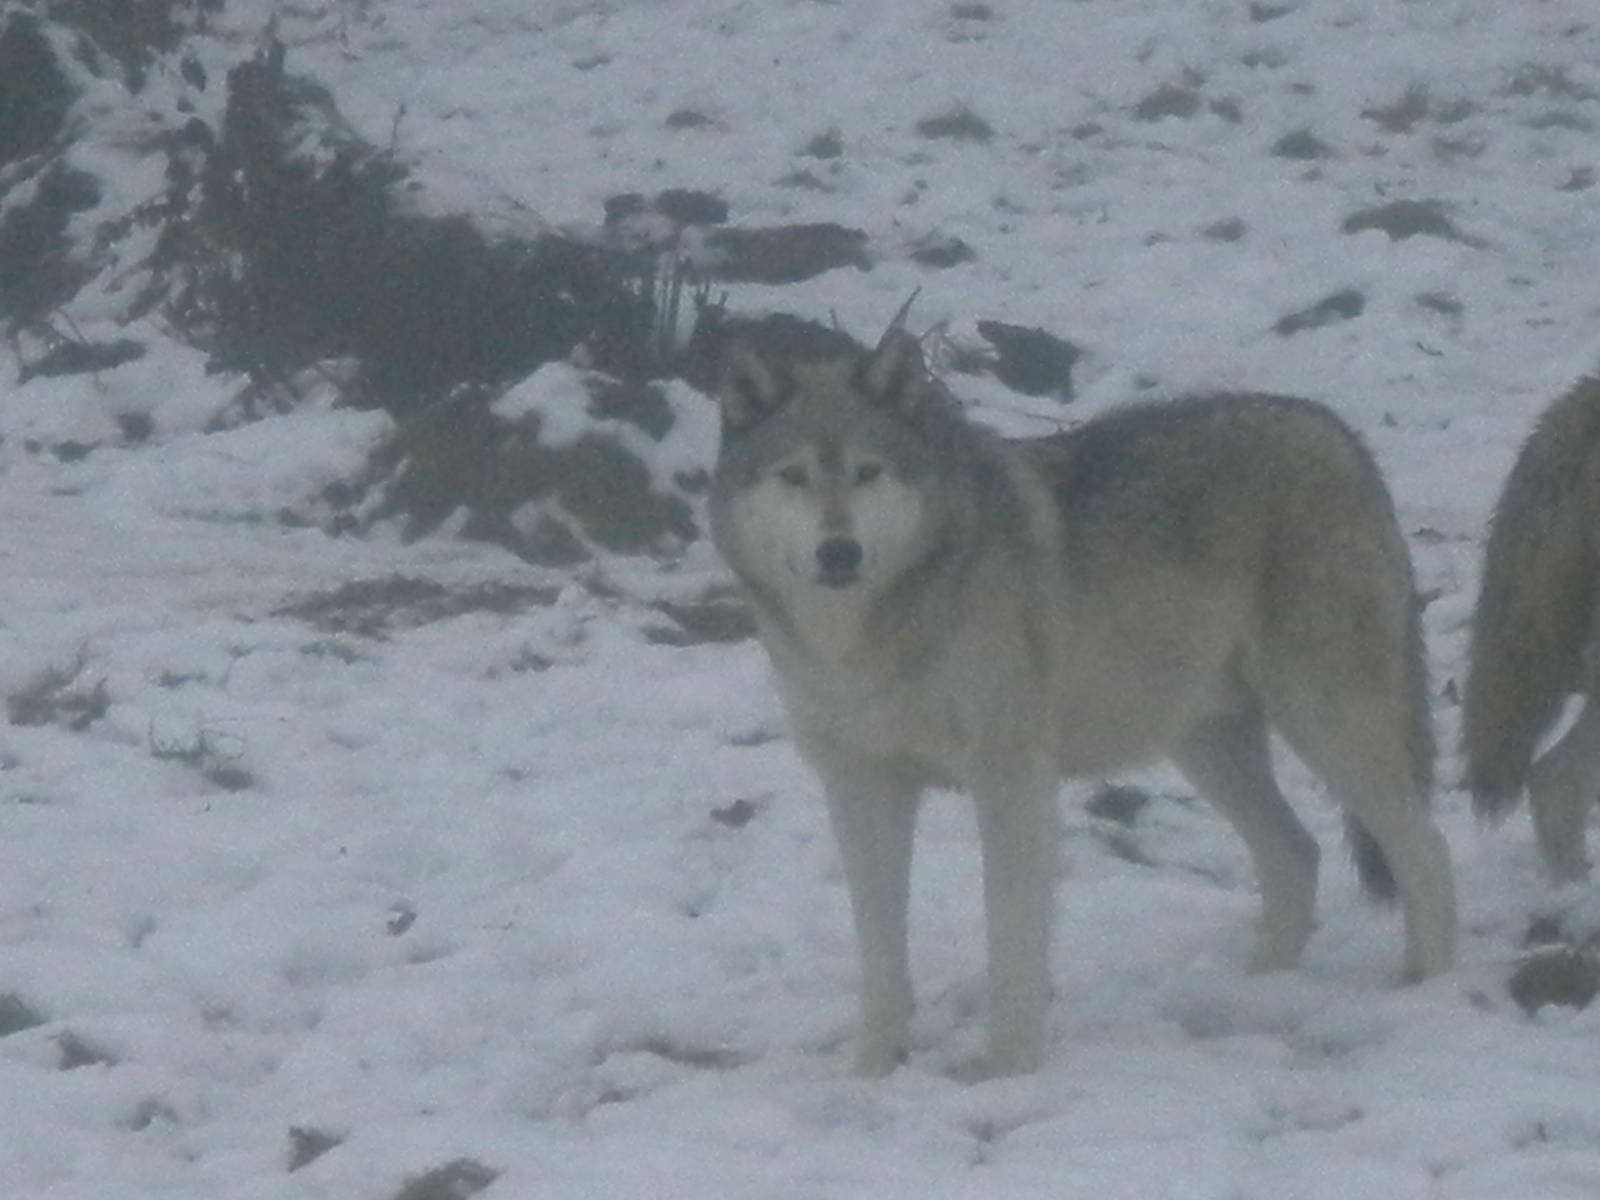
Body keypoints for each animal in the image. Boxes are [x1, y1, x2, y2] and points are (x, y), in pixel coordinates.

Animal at [708, 322, 1458, 1077]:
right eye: (794, 476)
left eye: (868, 472)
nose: (840, 552)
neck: (864, 638)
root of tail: (1338, 431)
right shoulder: (860, 786)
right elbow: (881, 948)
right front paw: (873, 1070)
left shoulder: (1010, 779)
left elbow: (1011, 935)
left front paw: (1006, 1068)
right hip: (1205, 745)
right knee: (1296, 854)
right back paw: (1259, 988)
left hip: (1323, 721)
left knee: (1425, 848)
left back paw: (1428, 989)